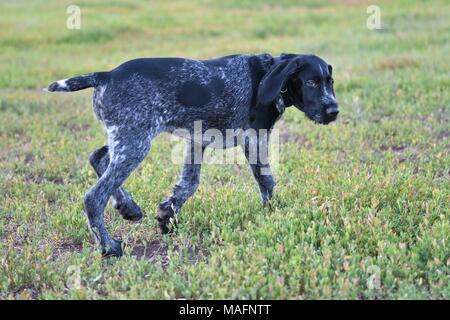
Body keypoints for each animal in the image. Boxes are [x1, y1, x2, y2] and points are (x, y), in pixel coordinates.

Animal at [47, 53, 340, 258]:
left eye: (331, 82)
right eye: (311, 81)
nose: (334, 111)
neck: (267, 75)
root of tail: (106, 75)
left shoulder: (197, 141)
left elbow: (188, 184)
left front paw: (167, 216)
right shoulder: (254, 138)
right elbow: (267, 181)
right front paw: (275, 213)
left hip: (127, 138)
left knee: (98, 157)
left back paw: (128, 207)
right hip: (135, 142)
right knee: (94, 195)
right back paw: (108, 246)